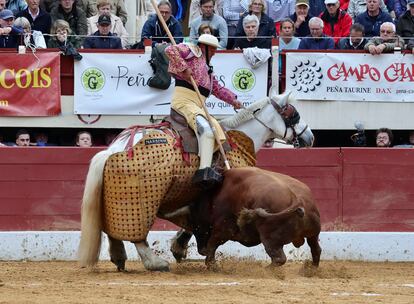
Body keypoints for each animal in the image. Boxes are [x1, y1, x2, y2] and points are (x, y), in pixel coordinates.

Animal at [178, 166, 320, 268]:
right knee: (316, 249)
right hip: (313, 234)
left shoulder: (223, 227)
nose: (201, 250)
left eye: (195, 223)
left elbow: (213, 244)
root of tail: (298, 198)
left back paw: (265, 270)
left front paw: (212, 265)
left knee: (279, 258)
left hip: (270, 238)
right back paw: (311, 269)